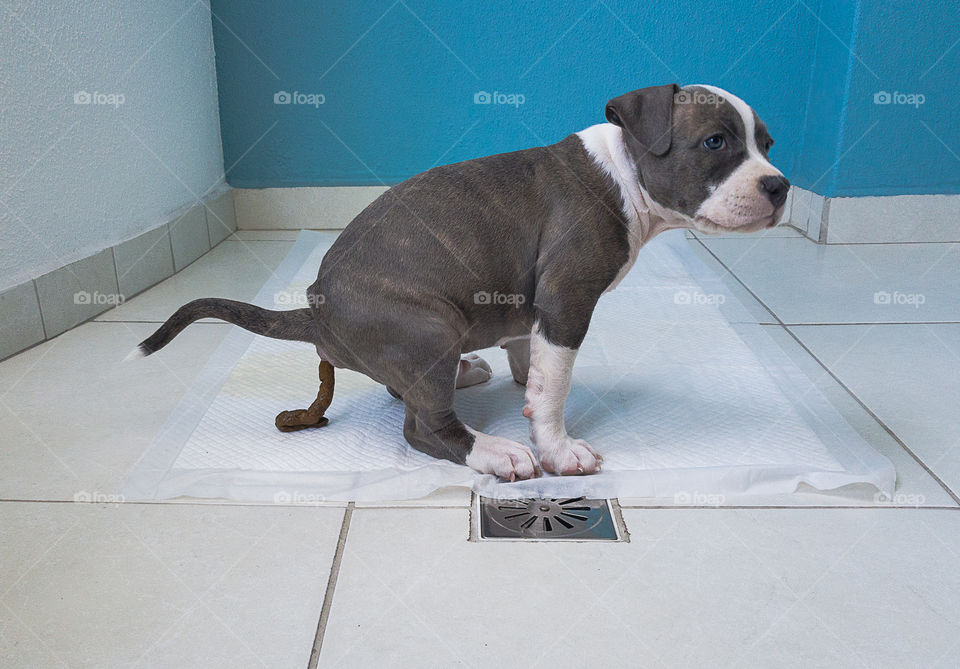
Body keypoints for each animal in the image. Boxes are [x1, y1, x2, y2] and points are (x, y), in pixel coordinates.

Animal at [135, 85, 792, 480]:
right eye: (715, 142)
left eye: (767, 144)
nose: (780, 186)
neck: (623, 172)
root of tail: (316, 309)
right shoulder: (566, 298)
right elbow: (556, 385)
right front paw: (557, 448)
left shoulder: (535, 303)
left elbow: (533, 359)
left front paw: (524, 383)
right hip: (430, 324)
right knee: (423, 426)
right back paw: (494, 450)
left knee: (407, 388)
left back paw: (464, 373)